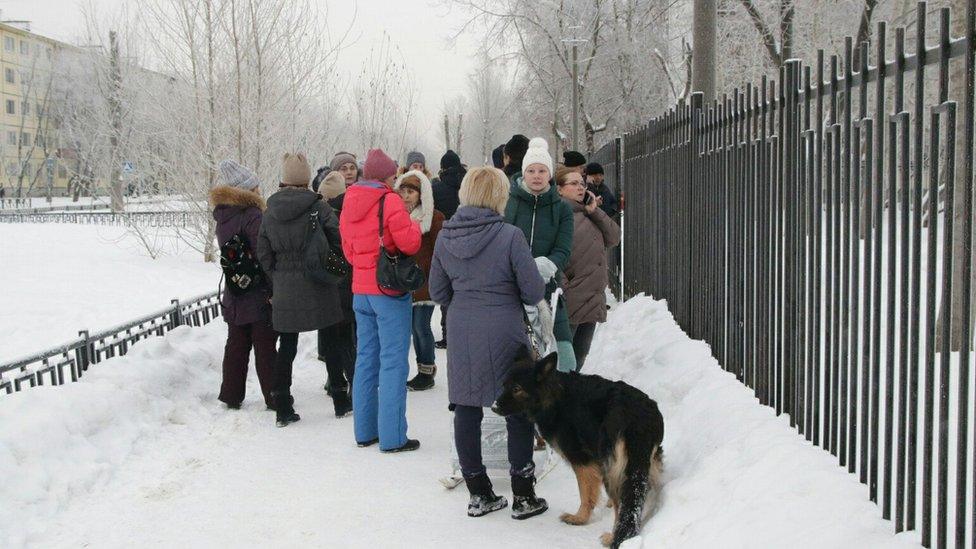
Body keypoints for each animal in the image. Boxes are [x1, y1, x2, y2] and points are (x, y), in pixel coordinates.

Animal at [492, 348, 668, 544]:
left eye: (516, 389)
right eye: (504, 385)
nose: (493, 407)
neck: (554, 396)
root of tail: (637, 416)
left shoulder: (582, 461)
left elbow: (585, 493)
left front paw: (580, 518)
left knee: (621, 501)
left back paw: (613, 537)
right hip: (644, 460)